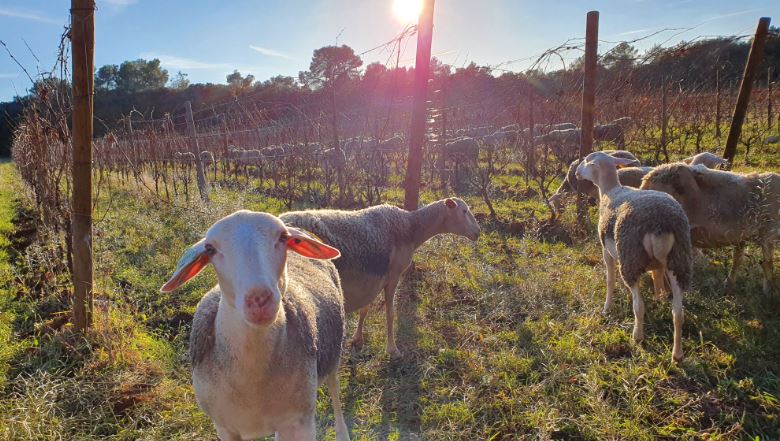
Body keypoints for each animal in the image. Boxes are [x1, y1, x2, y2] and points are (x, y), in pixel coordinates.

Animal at [159, 210, 350, 441]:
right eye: (210, 249)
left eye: (283, 238)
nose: (259, 299)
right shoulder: (225, 427)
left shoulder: (301, 422)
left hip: (333, 352)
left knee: (335, 391)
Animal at [281, 197, 481, 358]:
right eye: (464, 211)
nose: (478, 232)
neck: (411, 228)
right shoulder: (393, 275)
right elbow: (390, 314)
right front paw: (393, 350)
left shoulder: (373, 279)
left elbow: (365, 309)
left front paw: (357, 340)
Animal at [576, 152, 693, 362]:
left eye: (587, 161)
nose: (576, 172)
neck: (610, 190)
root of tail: (660, 223)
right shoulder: (658, 265)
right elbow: (657, 278)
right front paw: (659, 298)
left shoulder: (606, 251)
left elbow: (610, 280)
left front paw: (607, 308)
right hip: (679, 261)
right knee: (678, 312)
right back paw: (677, 354)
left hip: (630, 259)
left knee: (638, 305)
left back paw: (637, 336)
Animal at [640, 163, 780, 294]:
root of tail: (647, 180)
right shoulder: (768, 233)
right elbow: (768, 263)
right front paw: (769, 292)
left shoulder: (740, 236)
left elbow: (737, 260)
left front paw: (729, 284)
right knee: (657, 270)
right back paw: (664, 295)